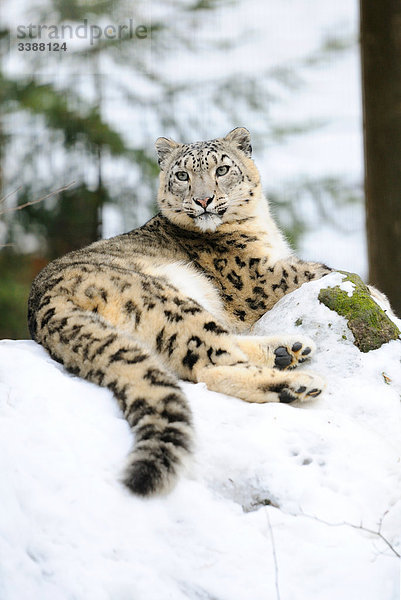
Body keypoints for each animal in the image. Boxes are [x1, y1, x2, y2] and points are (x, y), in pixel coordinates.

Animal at [26, 127, 330, 496]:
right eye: (182, 175)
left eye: (222, 169)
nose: (203, 200)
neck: (262, 227)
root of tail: (42, 305)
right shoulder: (261, 278)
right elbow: (319, 270)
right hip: (172, 304)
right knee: (211, 365)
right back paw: (298, 381)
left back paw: (288, 350)